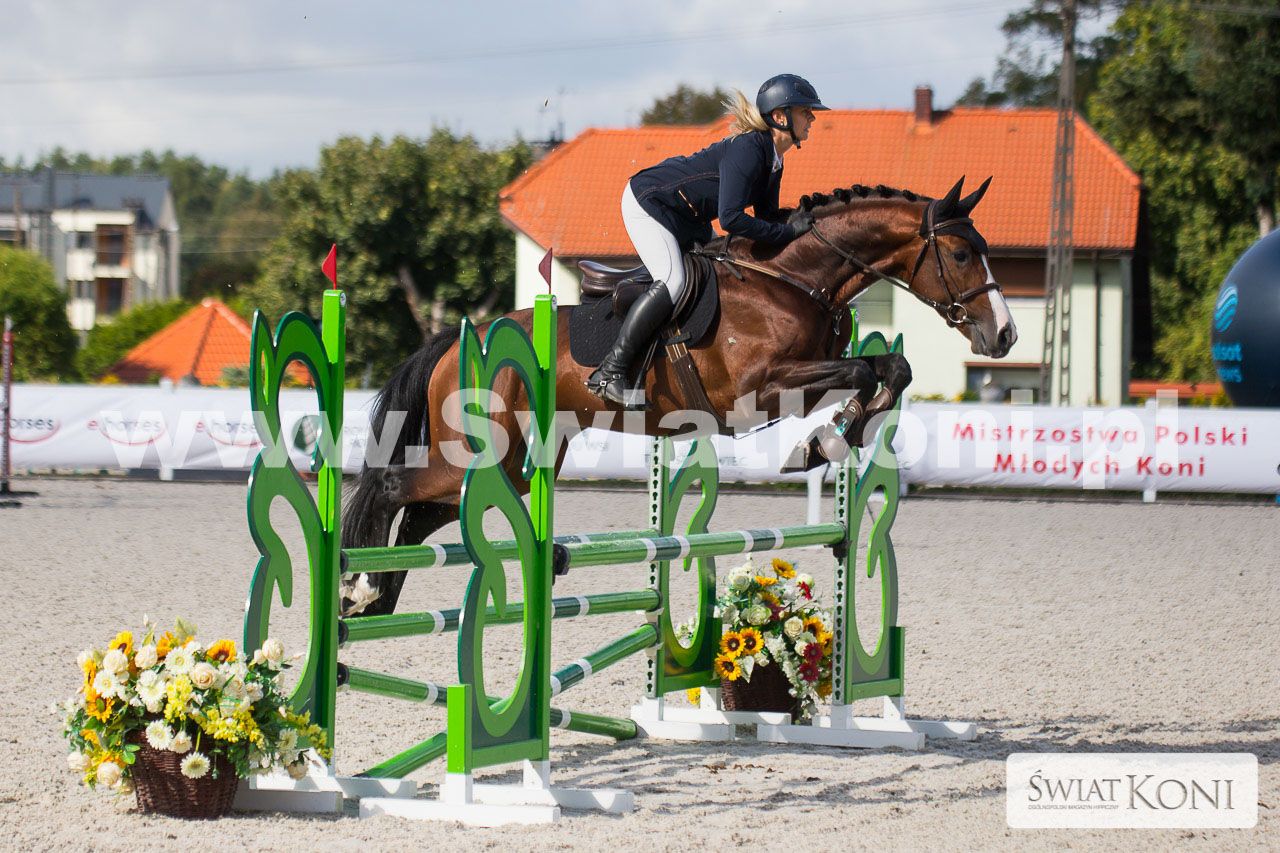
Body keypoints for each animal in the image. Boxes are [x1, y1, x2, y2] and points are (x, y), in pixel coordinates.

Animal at [340, 176, 1017, 616]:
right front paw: (822, 442)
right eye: (961, 252)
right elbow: (866, 369)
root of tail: (460, 340)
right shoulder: (763, 388)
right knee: (392, 487)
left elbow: (890, 367)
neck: (792, 279)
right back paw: (360, 589)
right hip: (476, 451)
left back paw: (377, 598)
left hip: (504, 465)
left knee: (422, 513)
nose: (1004, 334)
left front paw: (828, 440)